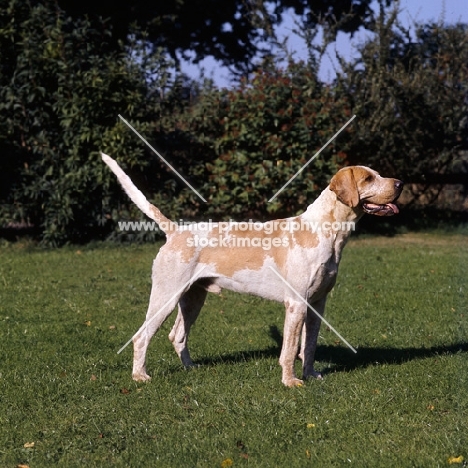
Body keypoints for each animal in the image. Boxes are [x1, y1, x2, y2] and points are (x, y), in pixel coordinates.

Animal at [102, 154, 402, 388]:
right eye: (368, 179)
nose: (400, 183)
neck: (326, 232)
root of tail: (175, 231)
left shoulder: (317, 304)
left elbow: (309, 346)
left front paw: (311, 374)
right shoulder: (296, 304)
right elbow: (290, 349)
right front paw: (290, 382)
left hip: (193, 299)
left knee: (177, 336)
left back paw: (190, 368)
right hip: (166, 296)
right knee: (141, 337)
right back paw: (140, 376)